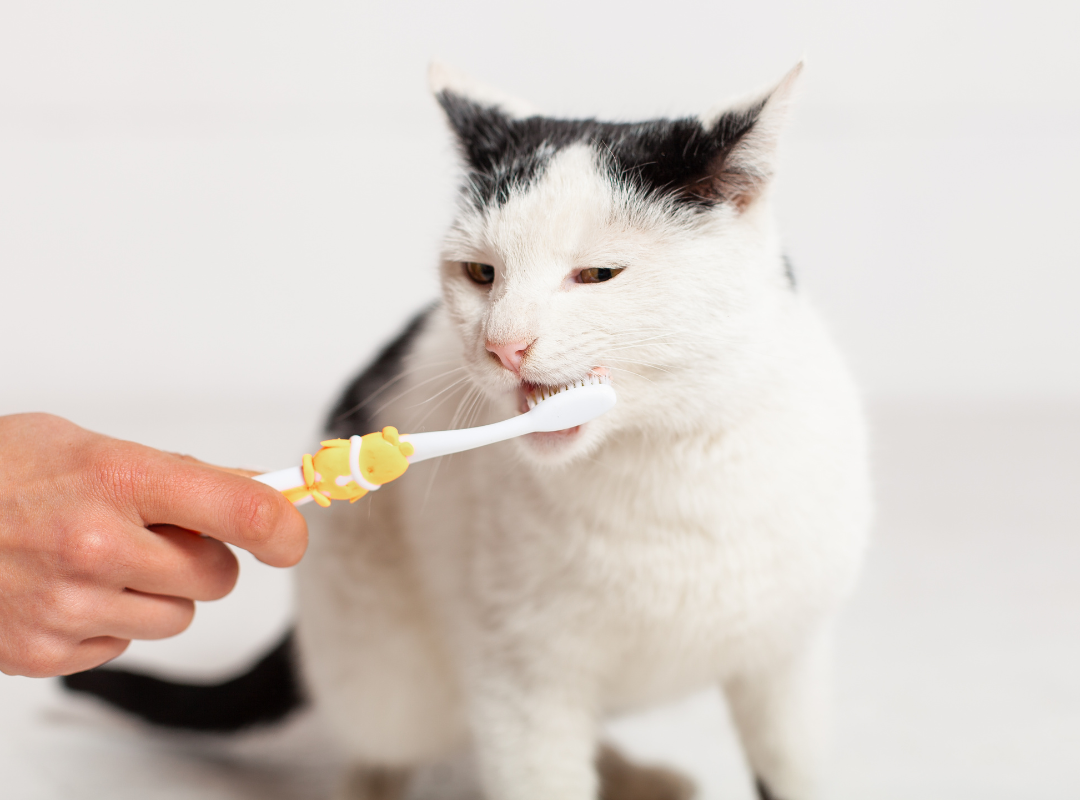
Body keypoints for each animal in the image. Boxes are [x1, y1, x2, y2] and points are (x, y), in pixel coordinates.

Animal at [65, 63, 868, 800]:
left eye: (598, 274)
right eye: (481, 273)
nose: (504, 345)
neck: (662, 466)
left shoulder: (787, 668)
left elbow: (793, 770)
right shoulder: (519, 683)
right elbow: (540, 774)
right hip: (382, 666)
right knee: (382, 746)